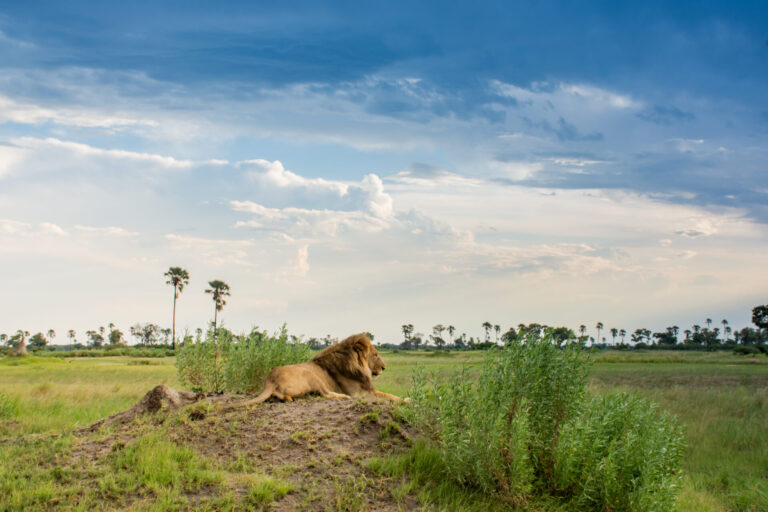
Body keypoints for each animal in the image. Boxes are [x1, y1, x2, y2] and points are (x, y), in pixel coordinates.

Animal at [241, 333, 404, 405]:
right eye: (375, 355)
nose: (384, 367)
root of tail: (270, 379)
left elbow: (388, 394)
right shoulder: (360, 393)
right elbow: (388, 396)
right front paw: (406, 399)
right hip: (311, 374)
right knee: (326, 394)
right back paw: (343, 397)